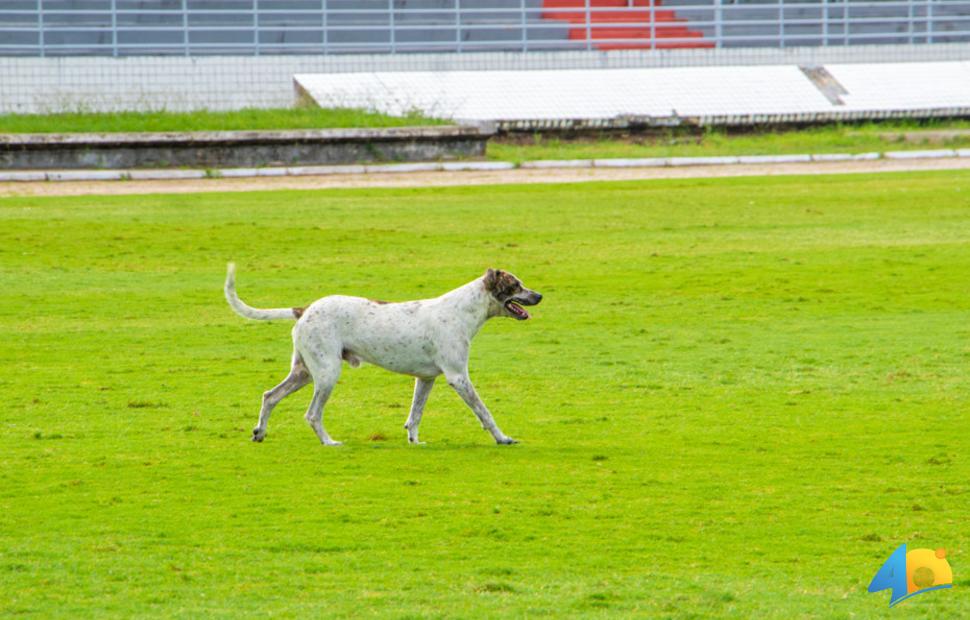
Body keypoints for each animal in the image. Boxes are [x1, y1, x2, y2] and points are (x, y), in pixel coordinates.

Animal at [228, 264, 544, 448]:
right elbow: (485, 413)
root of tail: (304, 309)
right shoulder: (459, 378)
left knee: (270, 396)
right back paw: (329, 442)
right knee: (312, 414)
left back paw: (259, 433)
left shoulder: (426, 379)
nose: (539, 296)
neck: (462, 311)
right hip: (327, 374)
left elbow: (415, 415)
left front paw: (414, 441)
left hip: (304, 373)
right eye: (516, 285)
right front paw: (502, 438)